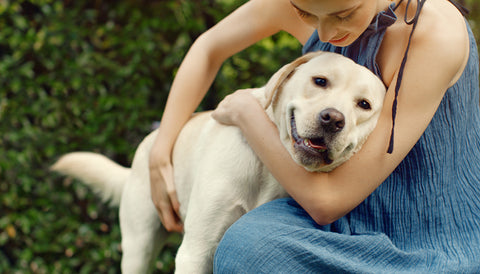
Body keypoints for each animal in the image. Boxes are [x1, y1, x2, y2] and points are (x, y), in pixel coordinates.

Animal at [51, 50, 386, 272]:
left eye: (364, 104)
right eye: (320, 81)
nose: (333, 119)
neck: (268, 165)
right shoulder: (196, 250)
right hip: (139, 244)